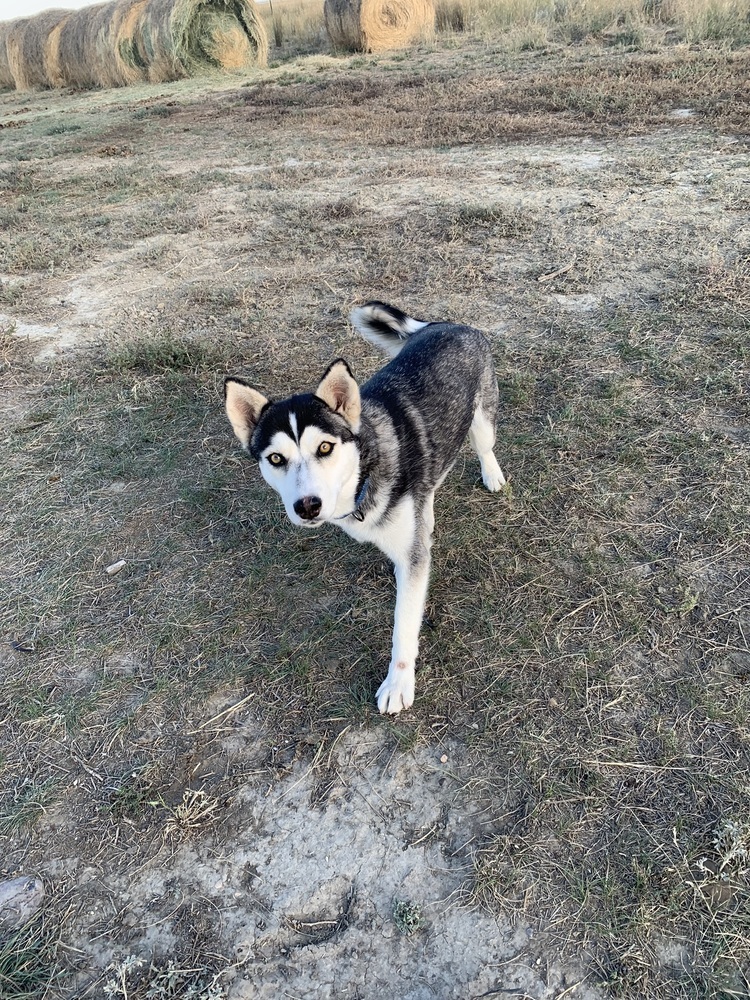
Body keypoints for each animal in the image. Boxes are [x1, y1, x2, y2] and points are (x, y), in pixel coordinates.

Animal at [223, 300, 506, 716]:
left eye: (325, 447)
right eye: (276, 458)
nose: (307, 506)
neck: (364, 472)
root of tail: (446, 324)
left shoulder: (412, 563)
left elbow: (404, 626)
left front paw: (399, 683)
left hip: (482, 421)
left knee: (484, 446)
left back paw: (492, 473)